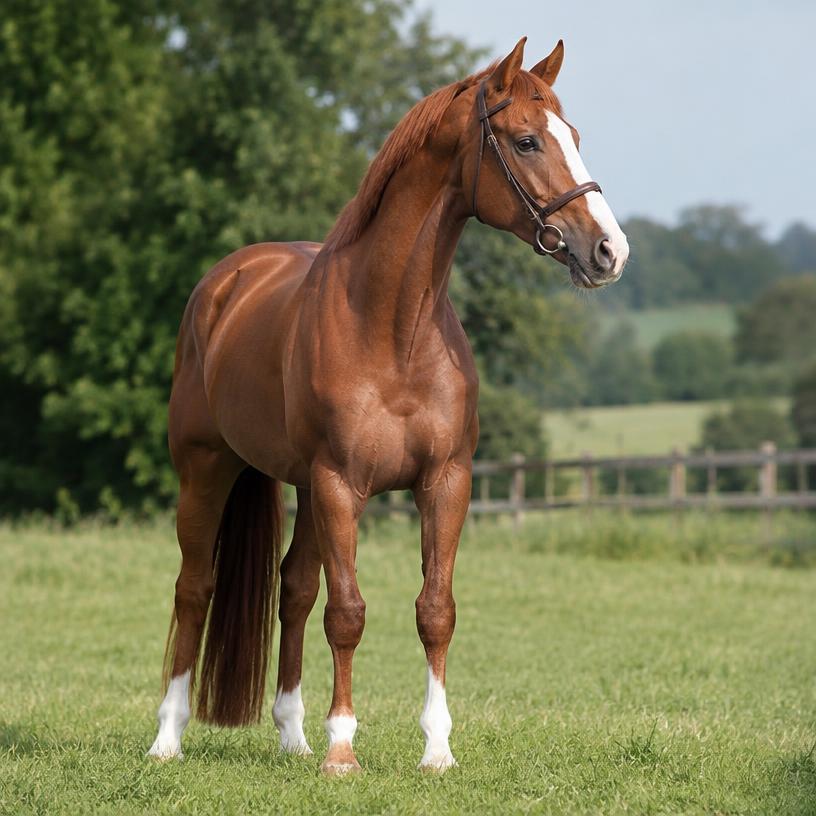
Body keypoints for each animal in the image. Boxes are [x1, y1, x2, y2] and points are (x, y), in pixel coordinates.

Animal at [147, 36, 629, 773]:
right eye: (525, 141)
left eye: (572, 137)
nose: (609, 250)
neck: (393, 329)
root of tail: (225, 283)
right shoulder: (341, 484)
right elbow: (347, 612)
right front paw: (343, 750)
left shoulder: (444, 482)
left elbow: (434, 609)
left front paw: (437, 749)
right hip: (209, 469)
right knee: (194, 587)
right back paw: (168, 738)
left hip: (302, 488)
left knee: (293, 590)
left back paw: (292, 736)